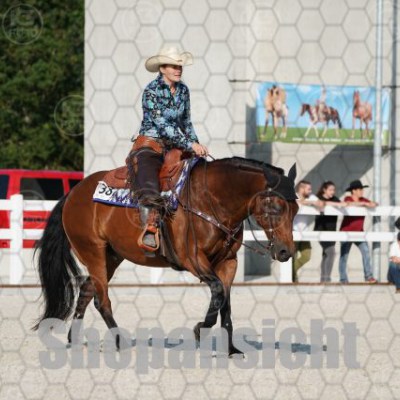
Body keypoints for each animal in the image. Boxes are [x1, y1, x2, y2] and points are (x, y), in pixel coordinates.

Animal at [32, 156, 299, 356]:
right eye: (276, 207)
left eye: (295, 209)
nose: (285, 251)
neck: (211, 199)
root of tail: (73, 194)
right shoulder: (193, 259)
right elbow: (218, 293)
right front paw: (200, 330)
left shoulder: (228, 263)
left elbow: (225, 302)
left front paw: (231, 349)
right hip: (93, 251)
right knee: (101, 300)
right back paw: (120, 342)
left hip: (112, 256)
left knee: (88, 291)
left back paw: (74, 339)